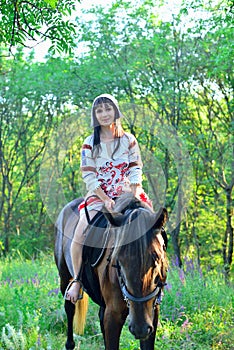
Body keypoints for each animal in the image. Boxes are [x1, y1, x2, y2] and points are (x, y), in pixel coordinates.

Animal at [54, 193, 168, 348]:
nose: (140, 328)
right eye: (118, 258)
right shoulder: (113, 314)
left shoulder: (152, 314)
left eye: (156, 257)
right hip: (65, 277)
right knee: (69, 307)